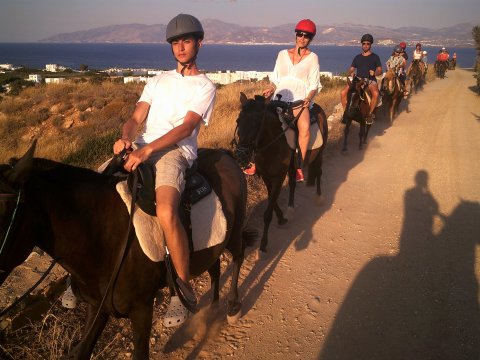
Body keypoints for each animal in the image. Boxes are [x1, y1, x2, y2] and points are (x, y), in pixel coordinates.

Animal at [0, 142, 255, 358]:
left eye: (5, 213)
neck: (103, 240)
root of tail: (225, 155)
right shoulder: (97, 307)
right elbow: (82, 351)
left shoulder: (142, 310)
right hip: (213, 244)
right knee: (215, 267)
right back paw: (211, 311)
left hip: (233, 233)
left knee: (238, 257)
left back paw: (232, 307)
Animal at [234, 93, 328, 256]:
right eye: (238, 121)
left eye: (258, 123)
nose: (241, 157)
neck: (271, 144)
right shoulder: (266, 176)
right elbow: (272, 198)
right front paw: (282, 218)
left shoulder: (279, 176)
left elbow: (268, 212)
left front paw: (263, 245)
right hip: (292, 166)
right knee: (293, 183)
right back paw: (290, 210)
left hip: (319, 154)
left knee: (318, 172)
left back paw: (319, 197)